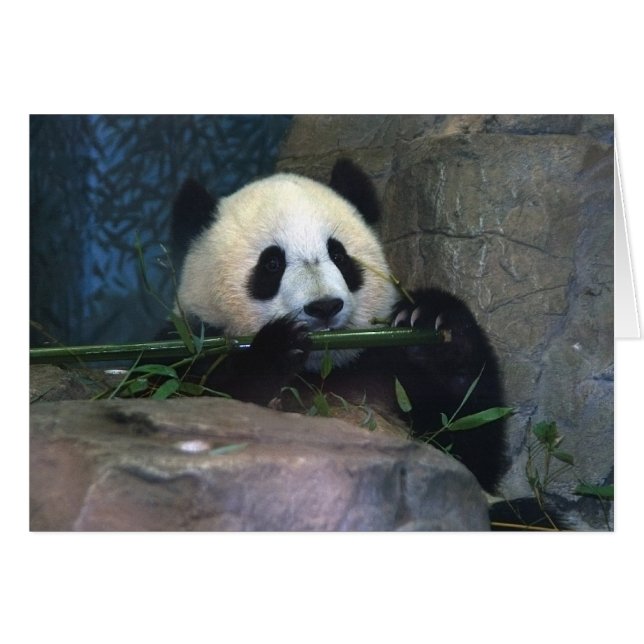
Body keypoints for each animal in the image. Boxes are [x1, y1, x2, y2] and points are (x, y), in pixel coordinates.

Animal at [164, 159, 509, 496]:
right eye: (272, 264)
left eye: (339, 255)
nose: (324, 307)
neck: (321, 371)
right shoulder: (187, 347)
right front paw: (276, 347)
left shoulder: (387, 366)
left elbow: (467, 445)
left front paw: (432, 322)